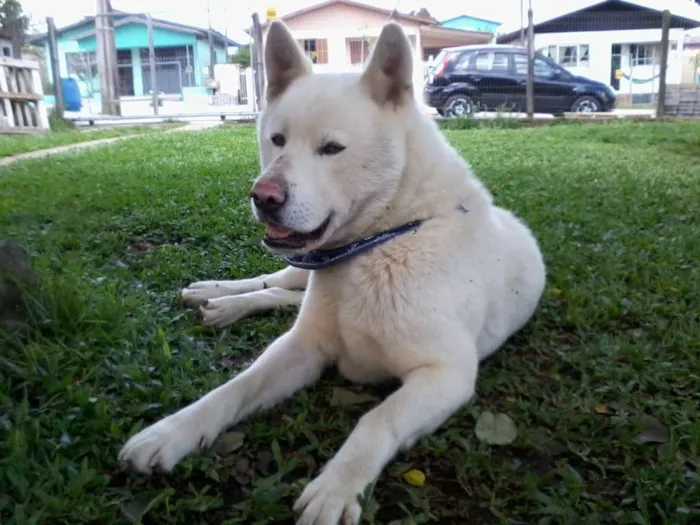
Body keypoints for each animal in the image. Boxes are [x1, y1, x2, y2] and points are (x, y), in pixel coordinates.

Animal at [119, 20, 548, 524]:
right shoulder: (301, 347)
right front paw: (171, 432)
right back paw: (216, 295)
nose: (263, 197)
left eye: (332, 149)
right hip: (300, 273)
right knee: (274, 283)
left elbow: (376, 419)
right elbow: (235, 387)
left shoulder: (446, 374)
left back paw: (222, 306)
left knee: (281, 294)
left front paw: (336, 487)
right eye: (277, 140)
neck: (378, 245)